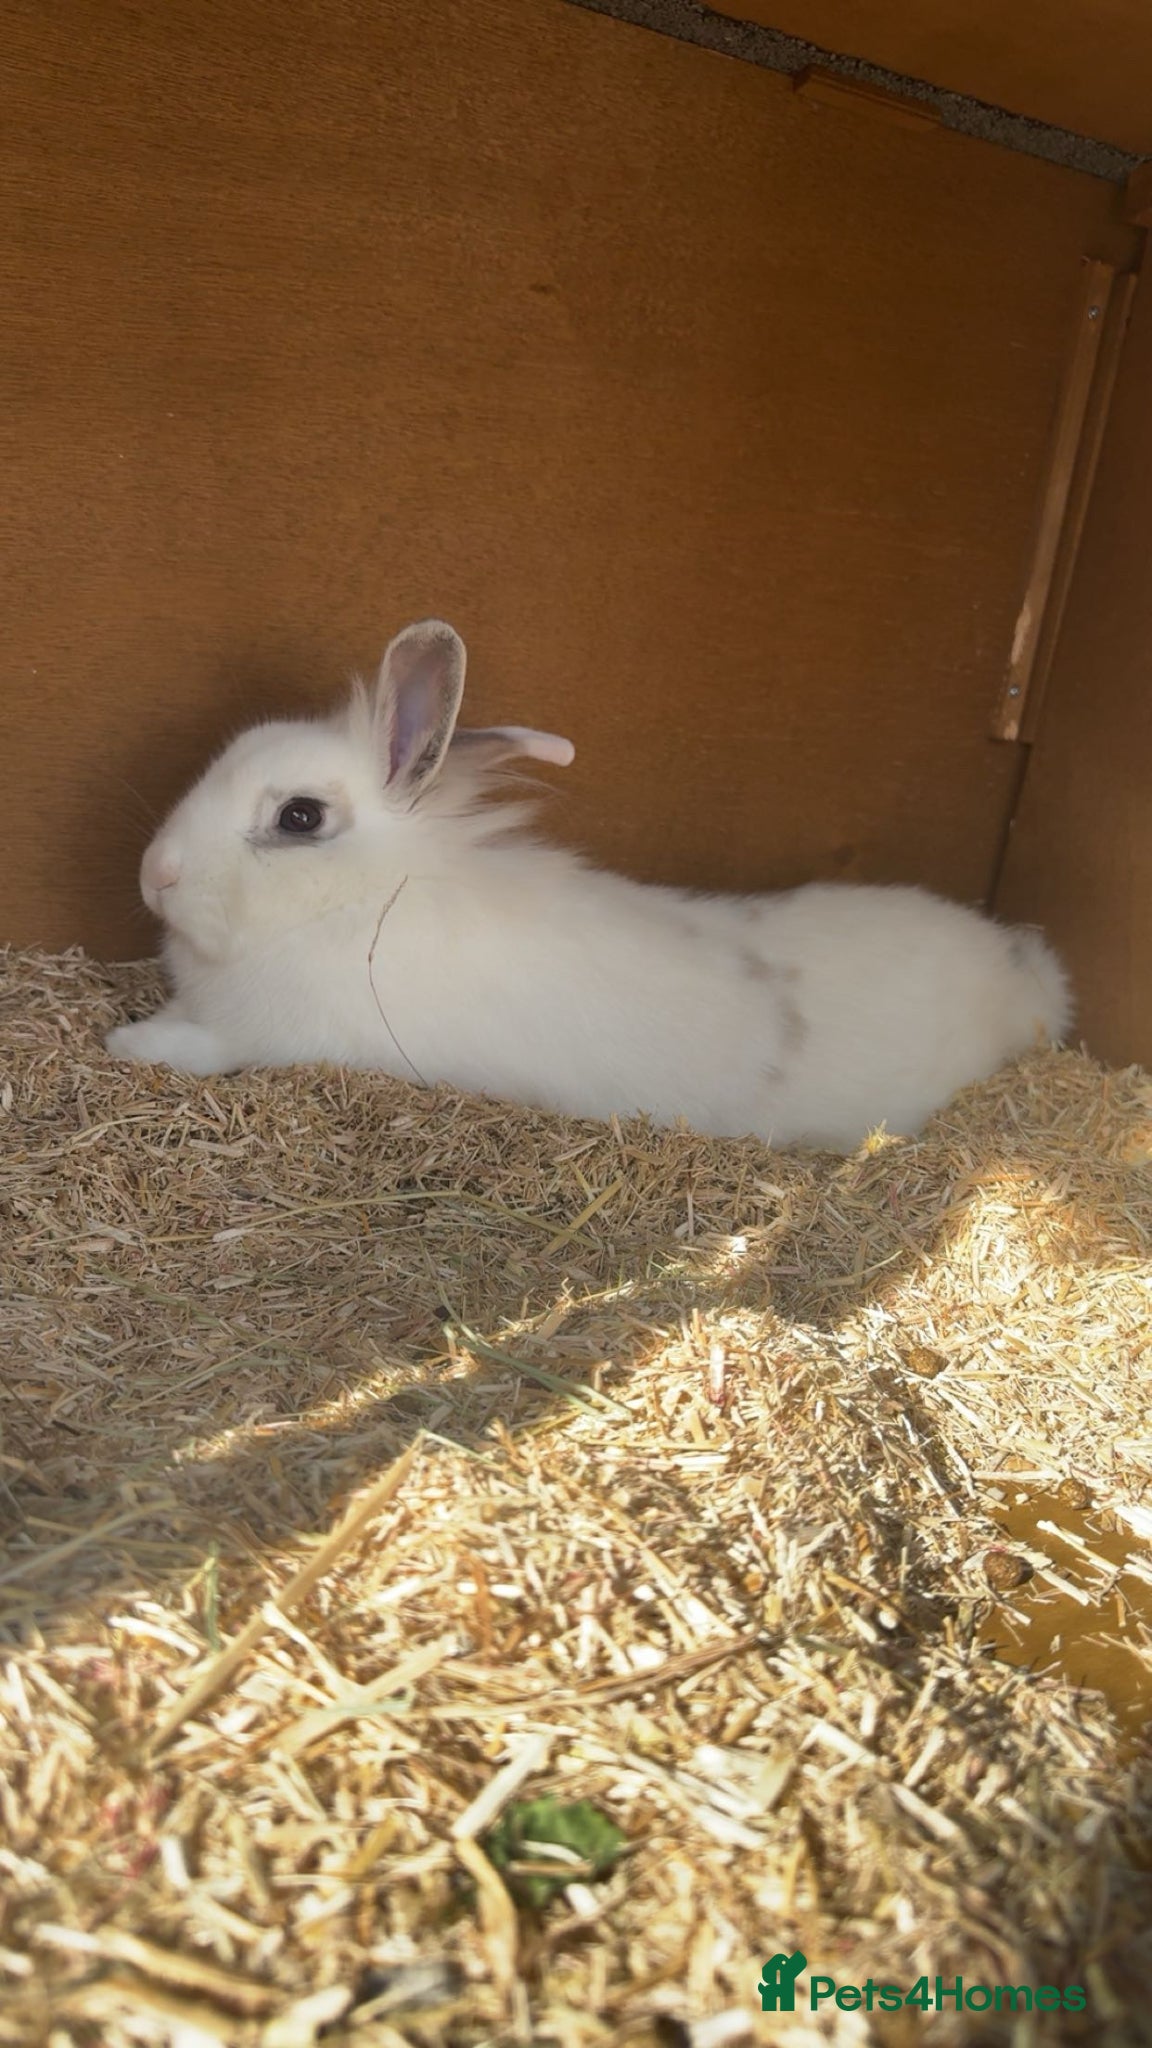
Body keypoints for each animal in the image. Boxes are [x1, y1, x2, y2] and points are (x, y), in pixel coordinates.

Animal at [106, 617, 1072, 1151]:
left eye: (300, 818)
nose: (154, 875)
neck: (358, 899)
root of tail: (1026, 981)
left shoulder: (282, 1037)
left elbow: (202, 1050)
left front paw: (129, 1044)